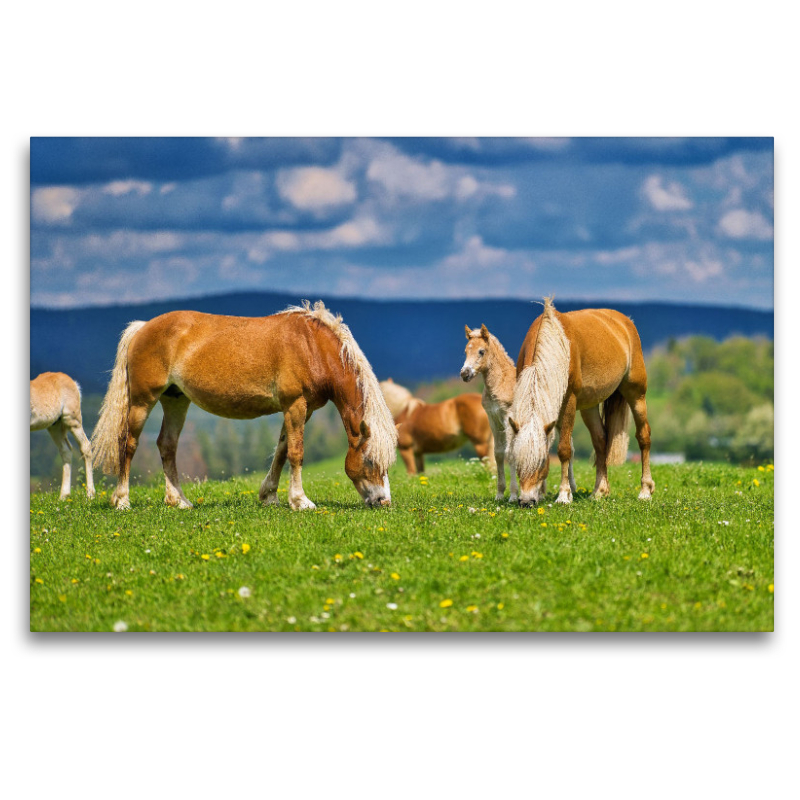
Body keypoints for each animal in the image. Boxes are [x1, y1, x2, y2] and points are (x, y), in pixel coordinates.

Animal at [92, 300, 398, 512]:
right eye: (370, 461)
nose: (384, 501)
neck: (312, 346)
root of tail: (142, 327)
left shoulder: (302, 409)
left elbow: (282, 451)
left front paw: (269, 495)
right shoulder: (295, 405)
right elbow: (296, 453)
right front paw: (300, 501)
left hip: (175, 400)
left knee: (167, 445)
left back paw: (178, 501)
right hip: (143, 401)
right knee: (128, 443)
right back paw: (122, 501)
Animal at [510, 296, 652, 510]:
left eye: (543, 462)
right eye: (518, 460)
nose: (526, 501)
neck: (554, 343)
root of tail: (624, 322)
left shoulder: (569, 401)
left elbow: (564, 449)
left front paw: (563, 495)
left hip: (636, 395)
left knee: (643, 436)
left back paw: (645, 491)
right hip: (590, 407)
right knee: (601, 440)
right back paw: (599, 492)